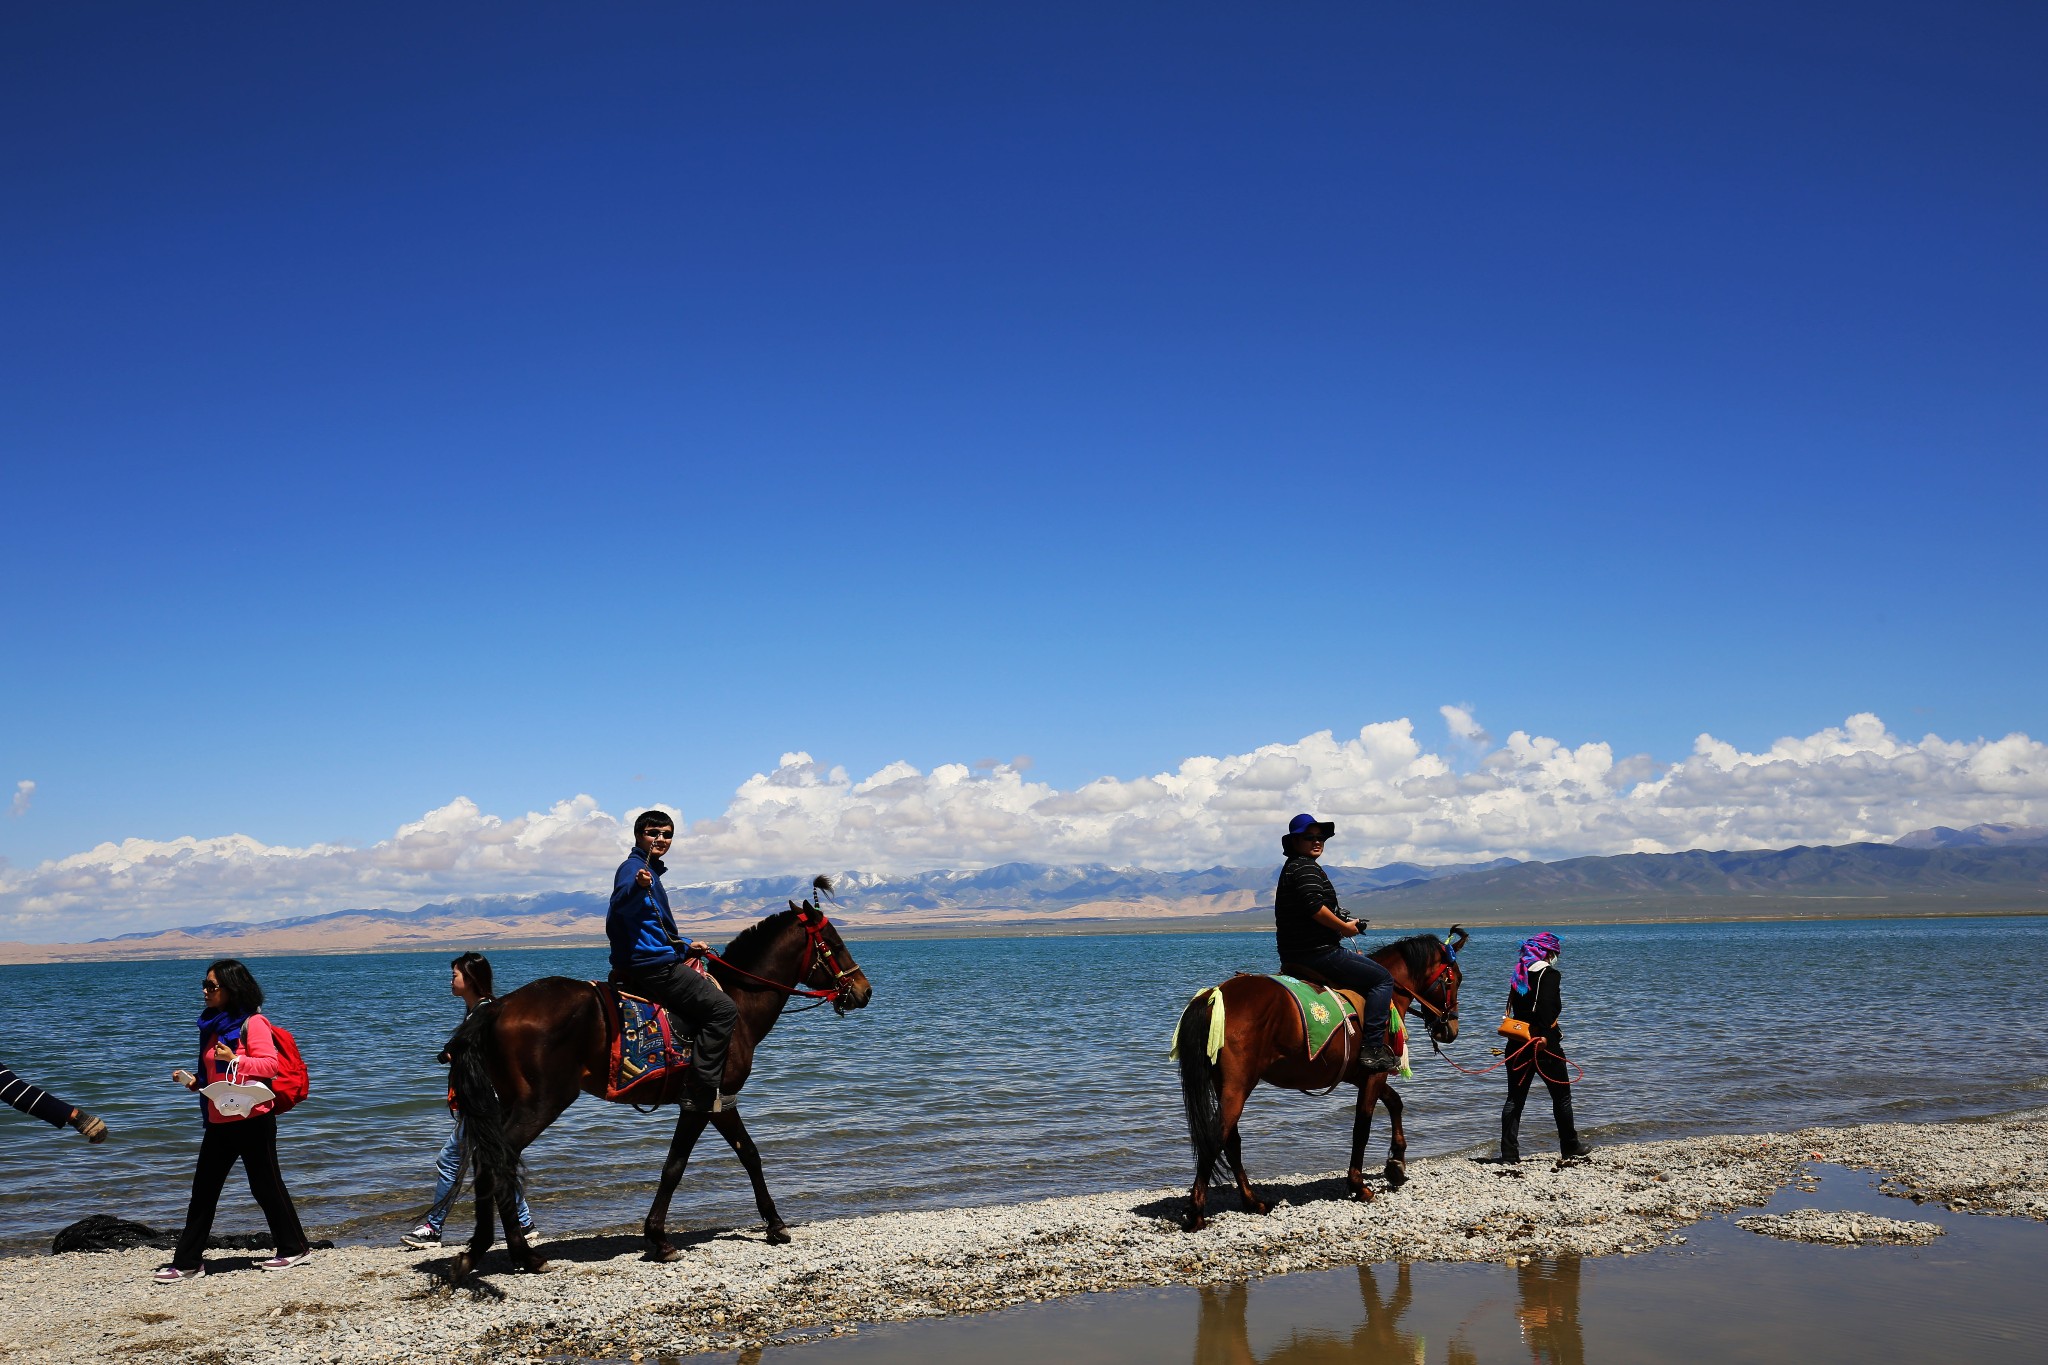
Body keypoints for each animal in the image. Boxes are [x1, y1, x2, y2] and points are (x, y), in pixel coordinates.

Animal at [444, 888, 868, 1285]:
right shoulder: (705, 1098)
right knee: (498, 1161)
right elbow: (683, 1165)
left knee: (487, 1160)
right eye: (835, 942)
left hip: (511, 1102)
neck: (738, 1004)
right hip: (541, 1102)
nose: (864, 990)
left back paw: (482, 1252)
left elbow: (743, 1154)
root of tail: (497, 1007)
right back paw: (518, 1254)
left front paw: (772, 1225)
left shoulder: (713, 1101)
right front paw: (662, 1239)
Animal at [1171, 933, 1474, 1236]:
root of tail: (1214, 996)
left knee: (1231, 1142)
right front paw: (1359, 1185)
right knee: (1215, 1140)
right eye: (1453, 980)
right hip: (1237, 1088)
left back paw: (1252, 1201)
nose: (1450, 1029)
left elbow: (1394, 1103)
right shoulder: (1374, 1074)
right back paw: (1197, 1214)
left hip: (1226, 1086)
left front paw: (1396, 1164)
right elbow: (1362, 1127)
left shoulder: (1362, 1075)